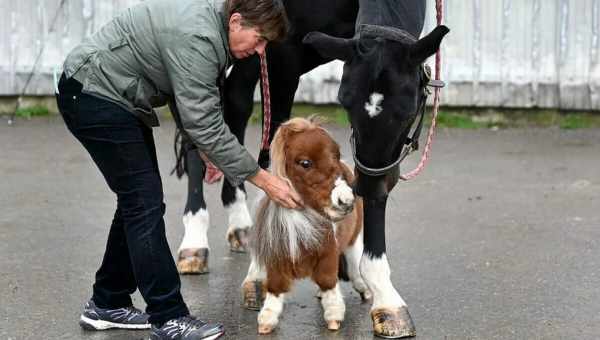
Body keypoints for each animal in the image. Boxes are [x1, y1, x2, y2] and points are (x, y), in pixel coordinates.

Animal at [173, 0, 446, 334]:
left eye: (407, 111)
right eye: (345, 103)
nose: (363, 188)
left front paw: (382, 296)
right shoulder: (281, 49)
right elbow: (273, 149)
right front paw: (261, 272)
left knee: (235, 102)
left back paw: (240, 223)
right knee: (195, 119)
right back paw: (194, 241)